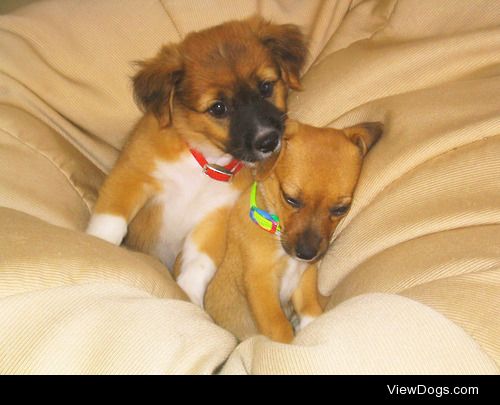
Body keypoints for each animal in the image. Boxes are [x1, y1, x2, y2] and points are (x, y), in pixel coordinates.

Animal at [85, 17, 308, 304]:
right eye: (218, 108)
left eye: (266, 87)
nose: (268, 141)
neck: (204, 163)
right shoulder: (131, 175)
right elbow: (109, 223)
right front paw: (99, 248)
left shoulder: (213, 218)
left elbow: (199, 265)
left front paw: (189, 299)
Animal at [203, 119, 382, 340]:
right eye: (290, 199)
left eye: (341, 209)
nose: (306, 253)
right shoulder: (260, 282)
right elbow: (280, 329)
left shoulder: (304, 278)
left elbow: (310, 311)